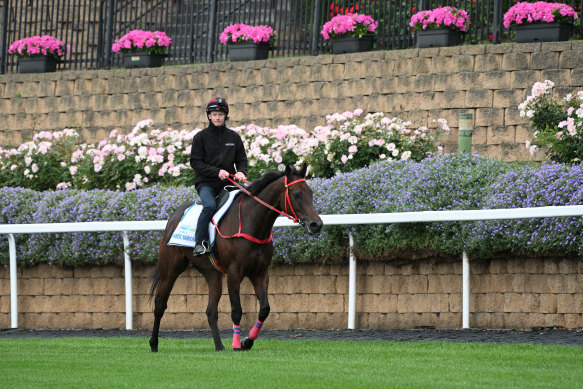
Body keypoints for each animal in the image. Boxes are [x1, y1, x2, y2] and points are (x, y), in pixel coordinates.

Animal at [149, 164, 324, 352]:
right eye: (296, 194)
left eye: (311, 193)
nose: (316, 224)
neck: (250, 223)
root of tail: (173, 217)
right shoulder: (234, 273)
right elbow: (236, 311)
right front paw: (236, 344)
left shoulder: (260, 273)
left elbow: (265, 309)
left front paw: (248, 341)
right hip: (170, 269)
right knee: (160, 305)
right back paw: (153, 344)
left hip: (211, 274)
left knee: (211, 311)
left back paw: (219, 346)